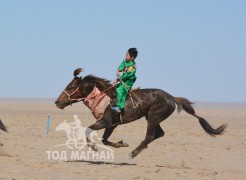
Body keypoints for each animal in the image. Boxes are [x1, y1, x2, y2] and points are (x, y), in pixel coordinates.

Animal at [55, 68, 227, 158]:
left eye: (71, 87)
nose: (57, 102)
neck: (104, 97)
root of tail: (172, 97)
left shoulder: (106, 122)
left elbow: (88, 130)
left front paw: (93, 147)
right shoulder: (112, 124)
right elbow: (104, 139)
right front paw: (121, 143)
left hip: (153, 118)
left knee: (150, 136)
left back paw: (132, 154)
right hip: (152, 118)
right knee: (159, 134)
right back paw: (138, 149)